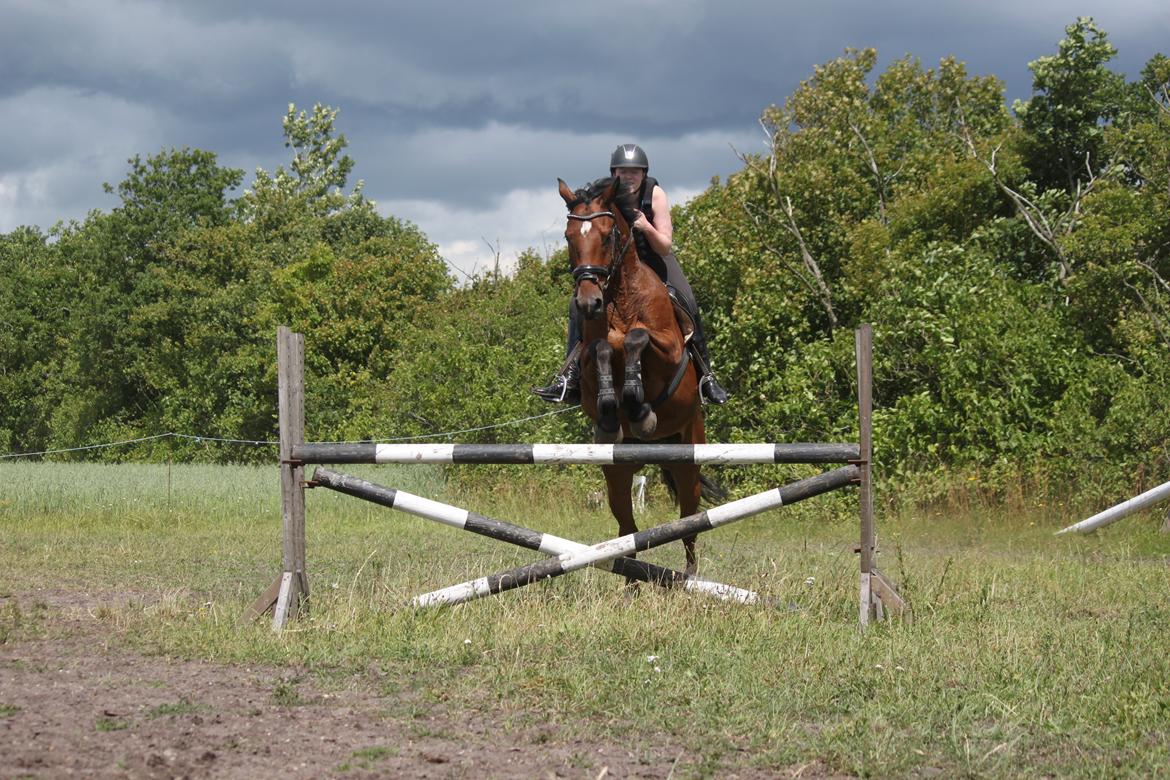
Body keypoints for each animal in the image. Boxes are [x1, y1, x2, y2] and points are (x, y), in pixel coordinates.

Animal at [559, 178, 711, 580]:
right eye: (568, 236)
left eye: (608, 235)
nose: (588, 303)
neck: (619, 297)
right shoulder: (588, 356)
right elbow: (601, 348)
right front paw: (613, 409)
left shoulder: (670, 349)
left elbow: (636, 339)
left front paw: (638, 406)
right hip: (618, 473)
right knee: (628, 531)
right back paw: (632, 584)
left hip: (688, 461)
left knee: (689, 525)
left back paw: (690, 579)